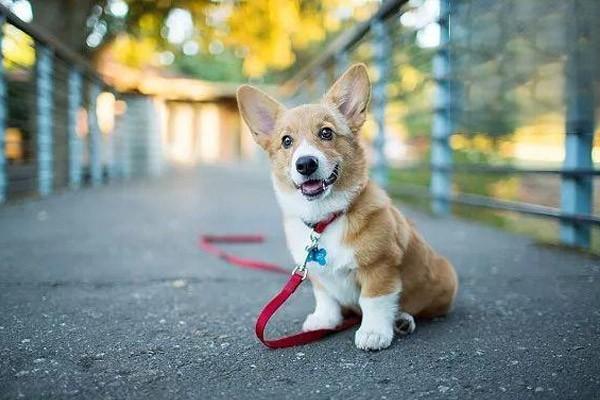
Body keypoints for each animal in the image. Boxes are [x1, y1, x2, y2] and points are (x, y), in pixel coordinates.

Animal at [237, 62, 458, 350]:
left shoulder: (379, 268)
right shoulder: (318, 275)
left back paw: (402, 319)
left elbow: (374, 301)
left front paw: (374, 333)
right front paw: (325, 320)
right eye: (286, 141)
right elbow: (326, 298)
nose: (305, 164)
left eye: (326, 133)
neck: (326, 218)